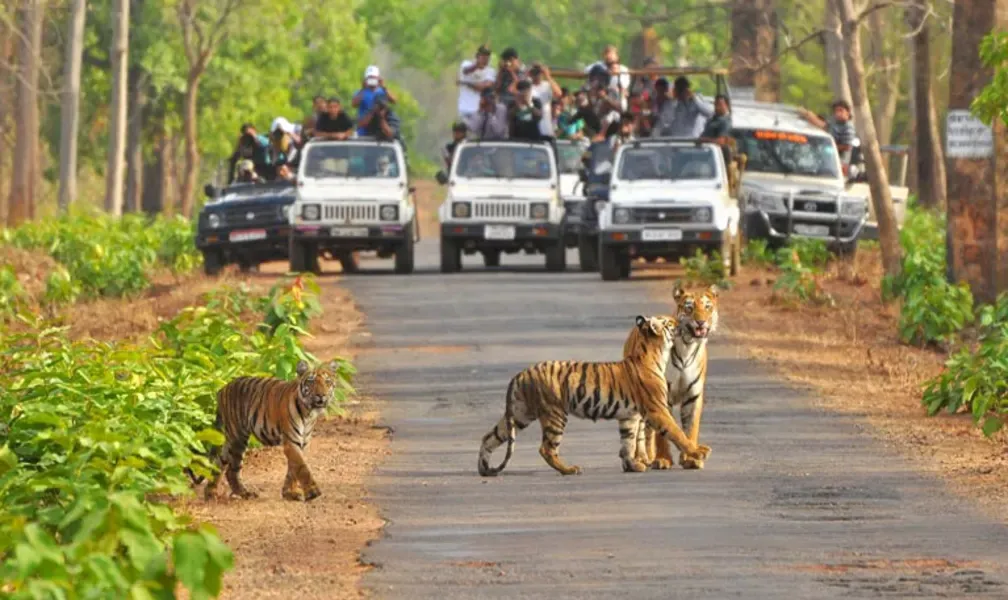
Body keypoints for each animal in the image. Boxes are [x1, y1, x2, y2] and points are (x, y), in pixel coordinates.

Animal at [184, 361, 334, 502]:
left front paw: (289, 493)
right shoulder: (291, 442)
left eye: (327, 382)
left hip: (230, 440)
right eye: (311, 381)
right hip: (237, 437)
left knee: (219, 463)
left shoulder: (302, 442)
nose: (321, 395)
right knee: (231, 470)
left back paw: (211, 493)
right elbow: (302, 467)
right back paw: (242, 493)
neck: (309, 413)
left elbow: (293, 468)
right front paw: (313, 492)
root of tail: (222, 389)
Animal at [477, 314, 709, 477]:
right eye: (669, 322)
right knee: (546, 448)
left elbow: (628, 442)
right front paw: (698, 452)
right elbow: (677, 432)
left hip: (520, 414)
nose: (680, 320)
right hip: (554, 414)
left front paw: (632, 465)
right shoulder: (657, 409)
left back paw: (484, 469)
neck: (654, 353)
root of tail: (521, 374)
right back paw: (569, 469)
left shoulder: (629, 416)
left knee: (489, 436)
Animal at [624, 284, 721, 471]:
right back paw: (642, 459)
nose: (701, 322)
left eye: (707, 307)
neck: (687, 346)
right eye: (689, 308)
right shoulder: (662, 395)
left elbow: (690, 429)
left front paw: (691, 458)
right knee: (641, 430)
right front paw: (663, 459)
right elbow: (663, 433)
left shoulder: (693, 395)